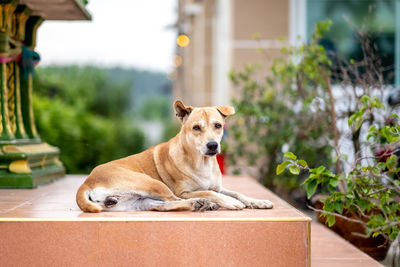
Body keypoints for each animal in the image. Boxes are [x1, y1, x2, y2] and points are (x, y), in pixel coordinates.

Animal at [76, 100, 274, 214]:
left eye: (218, 125)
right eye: (196, 128)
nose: (212, 145)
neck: (202, 163)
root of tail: (87, 181)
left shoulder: (218, 187)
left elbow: (236, 192)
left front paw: (258, 201)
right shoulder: (184, 191)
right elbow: (209, 192)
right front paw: (230, 202)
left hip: (137, 201)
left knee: (163, 205)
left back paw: (199, 205)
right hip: (152, 183)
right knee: (175, 199)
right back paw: (202, 203)